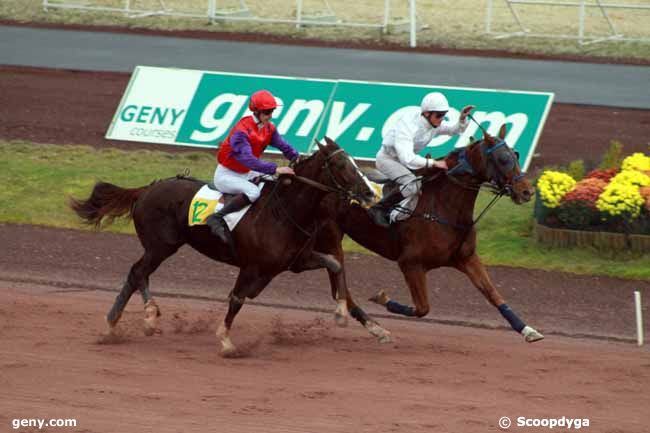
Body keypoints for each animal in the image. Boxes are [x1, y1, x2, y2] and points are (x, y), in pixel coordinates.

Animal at [69, 138, 374, 354]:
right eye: (342, 165)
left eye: (354, 162)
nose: (370, 192)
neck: (283, 210)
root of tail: (147, 189)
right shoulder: (251, 267)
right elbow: (236, 299)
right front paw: (226, 341)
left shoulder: (293, 262)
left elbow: (334, 264)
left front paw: (341, 313)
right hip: (160, 246)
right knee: (137, 272)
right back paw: (131, 320)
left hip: (162, 247)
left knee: (138, 274)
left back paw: (131, 321)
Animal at [314, 123, 540, 342]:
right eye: (503, 159)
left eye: (516, 155)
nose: (527, 192)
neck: (443, 207)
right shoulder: (410, 263)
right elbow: (422, 308)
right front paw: (383, 298)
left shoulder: (466, 258)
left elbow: (494, 294)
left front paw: (528, 330)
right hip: (330, 238)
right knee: (339, 286)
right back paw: (373, 327)